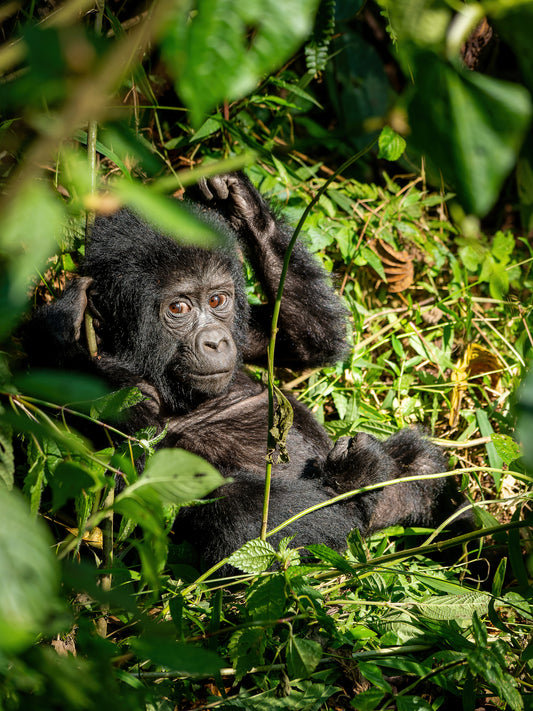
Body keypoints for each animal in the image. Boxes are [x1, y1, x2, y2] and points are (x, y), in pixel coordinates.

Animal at [25, 175, 460, 572]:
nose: (216, 342)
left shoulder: (245, 328)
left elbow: (307, 341)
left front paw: (243, 206)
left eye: (218, 300)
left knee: (420, 461)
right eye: (178, 308)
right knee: (239, 515)